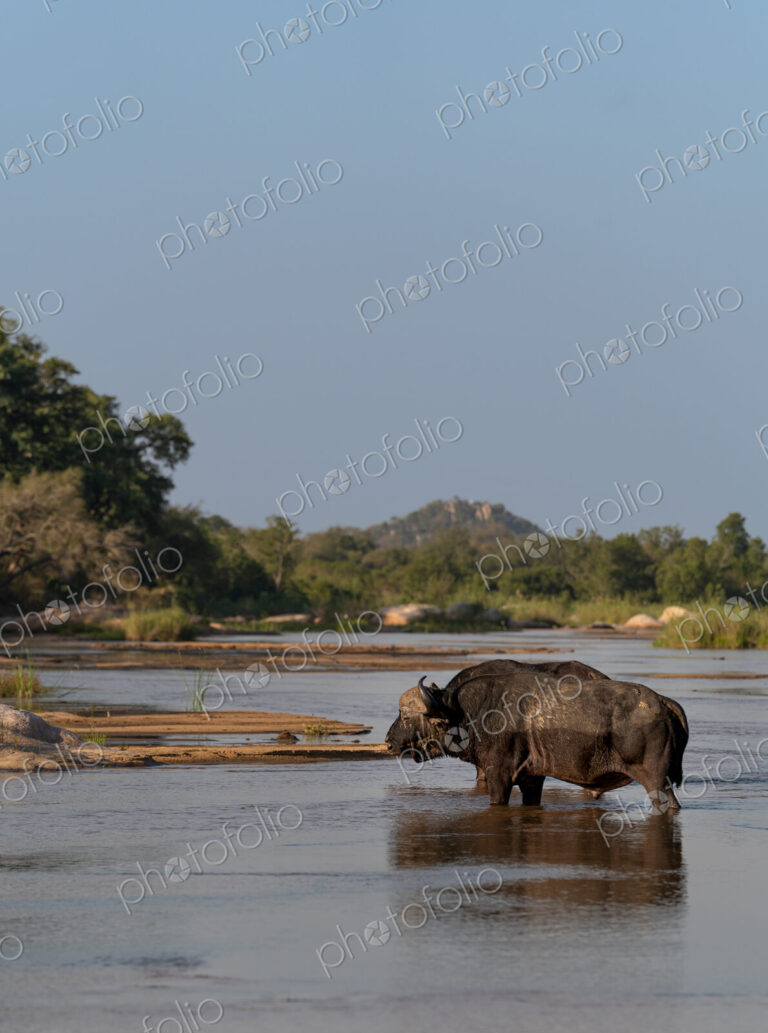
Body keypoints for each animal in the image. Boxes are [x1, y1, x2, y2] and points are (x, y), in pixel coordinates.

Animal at [385, 659, 688, 811]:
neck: (469, 713)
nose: (388, 742)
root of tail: (661, 702)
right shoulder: (532, 780)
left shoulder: (498, 775)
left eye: (406, 716)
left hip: (656, 781)